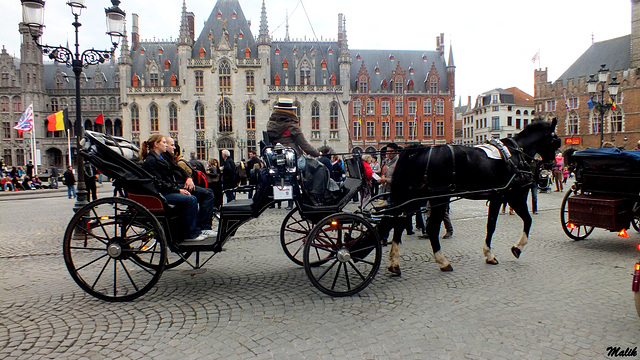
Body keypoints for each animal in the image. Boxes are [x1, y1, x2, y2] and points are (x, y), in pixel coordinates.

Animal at [382, 118, 556, 272]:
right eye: (555, 141)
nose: (551, 164)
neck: (516, 152)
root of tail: (420, 151)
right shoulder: (511, 197)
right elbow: (521, 221)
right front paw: (512, 249)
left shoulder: (499, 197)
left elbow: (493, 224)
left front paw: (491, 253)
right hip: (438, 197)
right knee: (430, 228)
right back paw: (443, 261)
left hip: (415, 197)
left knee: (399, 222)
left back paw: (395, 262)